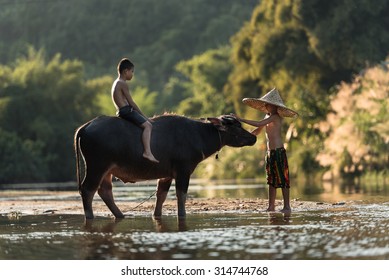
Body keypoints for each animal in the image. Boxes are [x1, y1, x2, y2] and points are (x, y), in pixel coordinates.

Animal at [73, 114, 256, 219]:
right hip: (97, 166)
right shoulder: (183, 171)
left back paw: (120, 215)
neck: (198, 135)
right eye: (235, 127)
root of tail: (85, 127)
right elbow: (181, 196)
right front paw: (182, 215)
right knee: (87, 190)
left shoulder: (166, 175)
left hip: (107, 171)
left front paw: (156, 215)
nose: (253, 137)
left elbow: (160, 196)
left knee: (104, 191)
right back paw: (90, 217)